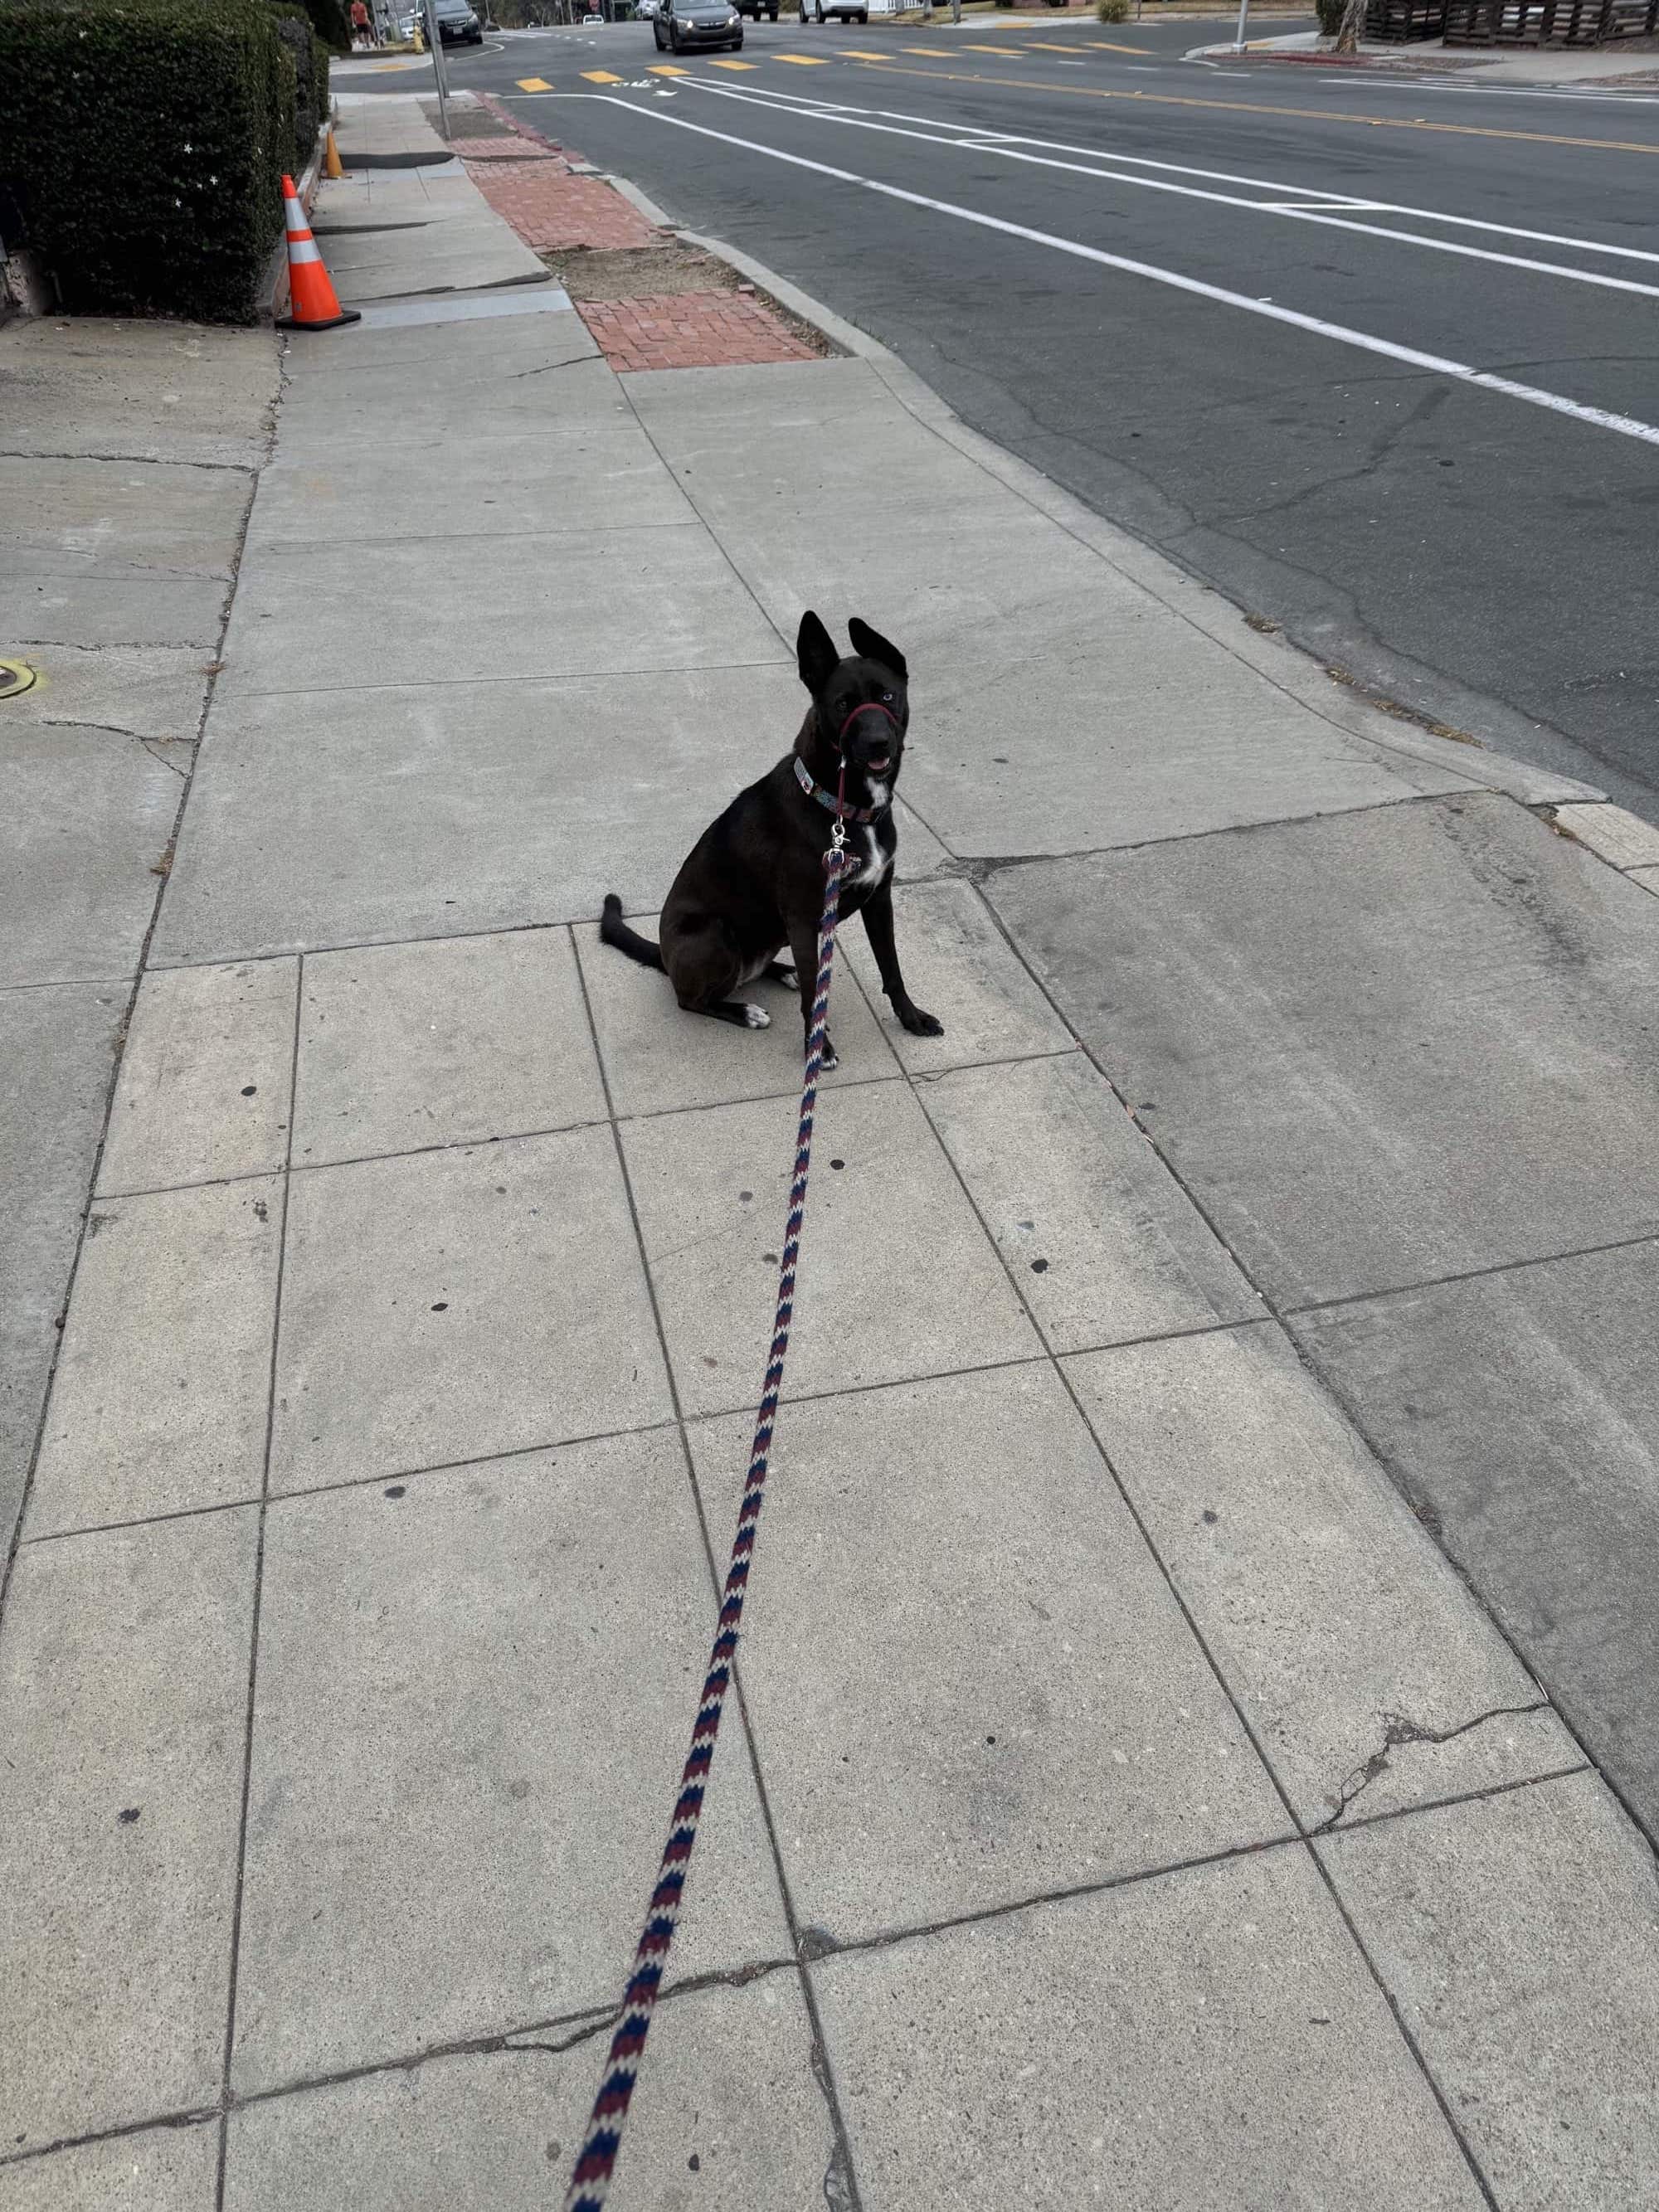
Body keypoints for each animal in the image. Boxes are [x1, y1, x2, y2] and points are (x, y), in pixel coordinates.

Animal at [597, 610, 942, 1066]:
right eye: (842, 704)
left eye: (887, 696)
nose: (878, 744)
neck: (841, 808)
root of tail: (667, 958)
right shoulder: (803, 915)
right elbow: (816, 994)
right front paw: (818, 1048)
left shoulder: (878, 898)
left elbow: (892, 969)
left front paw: (911, 1018)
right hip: (716, 936)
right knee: (691, 1000)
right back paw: (743, 1011)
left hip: (774, 936)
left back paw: (783, 972)